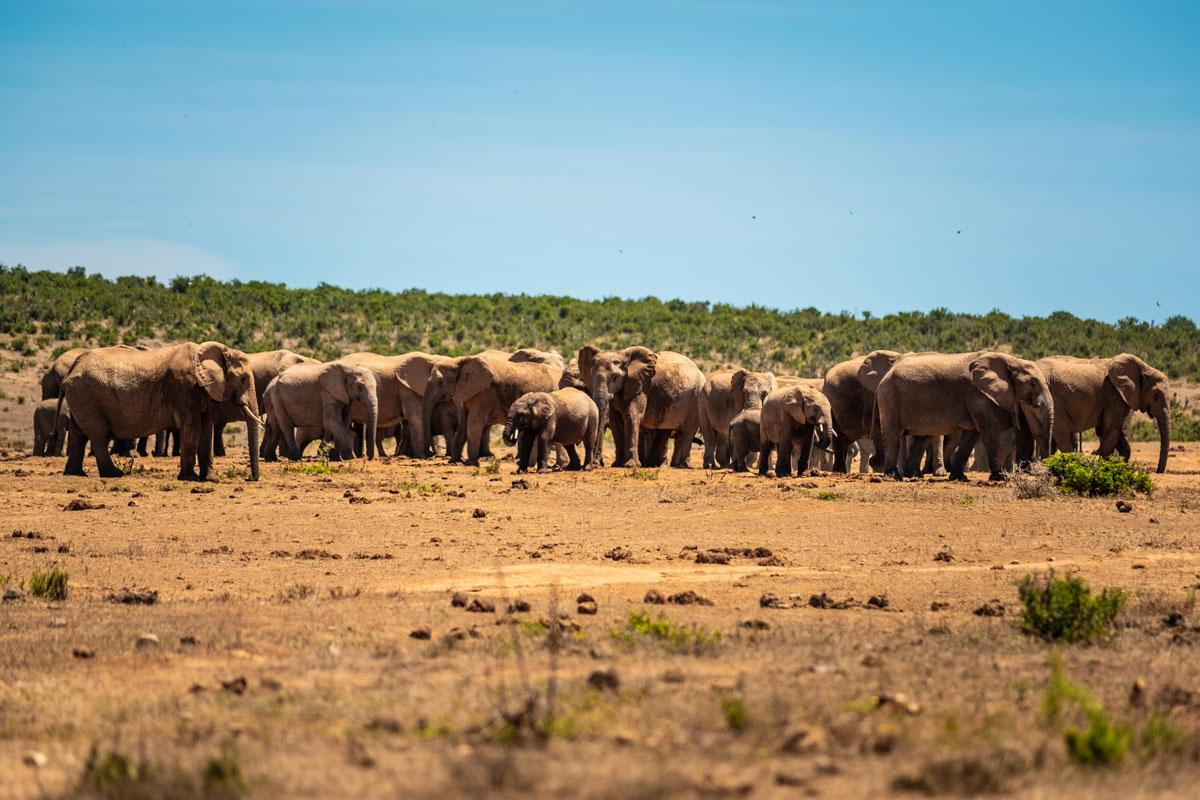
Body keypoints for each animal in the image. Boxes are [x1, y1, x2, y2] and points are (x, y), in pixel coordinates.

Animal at [62, 342, 262, 481]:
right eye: (243, 379)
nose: (250, 478)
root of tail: (72, 369)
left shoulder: (202, 390)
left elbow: (206, 428)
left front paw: (211, 479)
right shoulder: (184, 387)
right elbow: (192, 426)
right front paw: (190, 478)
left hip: (80, 396)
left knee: (77, 434)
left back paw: (76, 474)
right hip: (87, 395)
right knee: (98, 435)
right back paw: (114, 474)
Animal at [875, 351, 1053, 482]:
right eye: (1033, 383)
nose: (1048, 472)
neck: (1012, 360)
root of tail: (886, 375)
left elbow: (973, 435)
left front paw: (960, 478)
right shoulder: (977, 394)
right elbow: (988, 430)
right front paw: (1001, 478)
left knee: (919, 438)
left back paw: (913, 476)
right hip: (890, 396)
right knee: (893, 435)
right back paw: (893, 476)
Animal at [1035, 354, 1170, 473]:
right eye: (1156, 395)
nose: (1158, 471)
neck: (1143, 367)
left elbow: (1113, 432)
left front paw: (1120, 466)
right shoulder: (1113, 396)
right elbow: (1112, 429)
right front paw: (1105, 467)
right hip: (1054, 400)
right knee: (1062, 432)